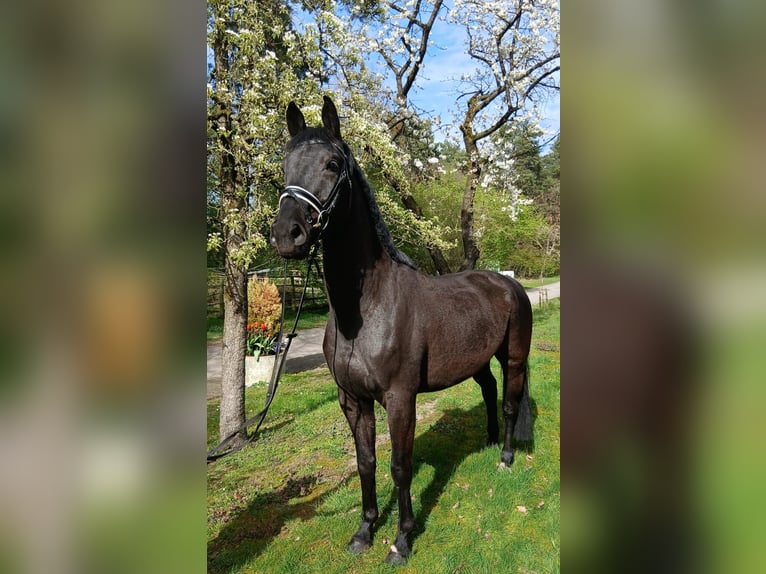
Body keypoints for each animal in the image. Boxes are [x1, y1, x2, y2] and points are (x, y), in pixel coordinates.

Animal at [270, 96, 533, 565]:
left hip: (514, 358)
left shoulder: (399, 398)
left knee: (508, 402)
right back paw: (485, 442)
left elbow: (400, 466)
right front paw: (364, 532)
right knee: (488, 390)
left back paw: (504, 456)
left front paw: (402, 540)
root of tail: (507, 282)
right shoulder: (352, 400)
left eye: (333, 164)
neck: (365, 309)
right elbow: (366, 463)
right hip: (477, 360)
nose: (287, 234)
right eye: (285, 163)